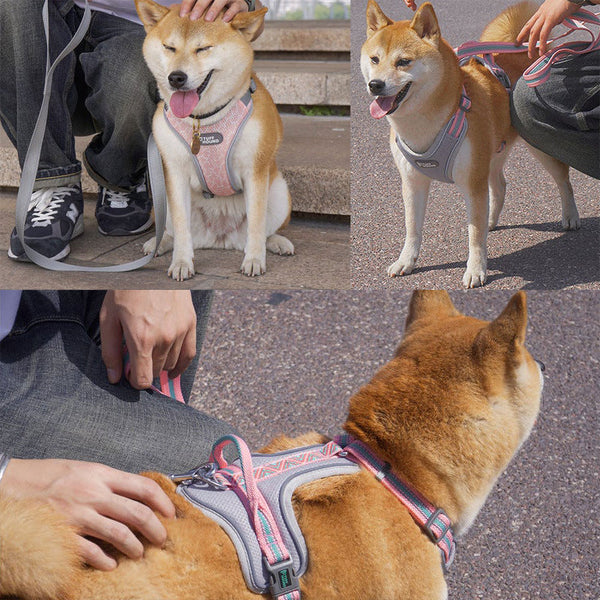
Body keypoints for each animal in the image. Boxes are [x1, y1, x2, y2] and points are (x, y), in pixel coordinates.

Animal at [137, 0, 296, 282]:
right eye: (169, 47)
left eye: (203, 48)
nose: (175, 77)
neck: (203, 120)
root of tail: (219, 239)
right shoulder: (174, 172)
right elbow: (181, 227)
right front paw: (181, 262)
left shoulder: (255, 170)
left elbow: (257, 225)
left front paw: (254, 260)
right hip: (161, 198)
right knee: (172, 231)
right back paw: (158, 243)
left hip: (278, 192)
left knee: (265, 231)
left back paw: (277, 243)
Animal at [364, 1, 580, 288]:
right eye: (374, 59)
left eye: (403, 62)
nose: (375, 85)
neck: (427, 123)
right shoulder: (412, 181)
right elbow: (412, 228)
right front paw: (406, 261)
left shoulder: (472, 182)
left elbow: (474, 235)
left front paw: (476, 270)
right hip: (491, 154)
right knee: (499, 185)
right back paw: (491, 219)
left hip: (535, 147)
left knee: (563, 180)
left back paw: (571, 216)